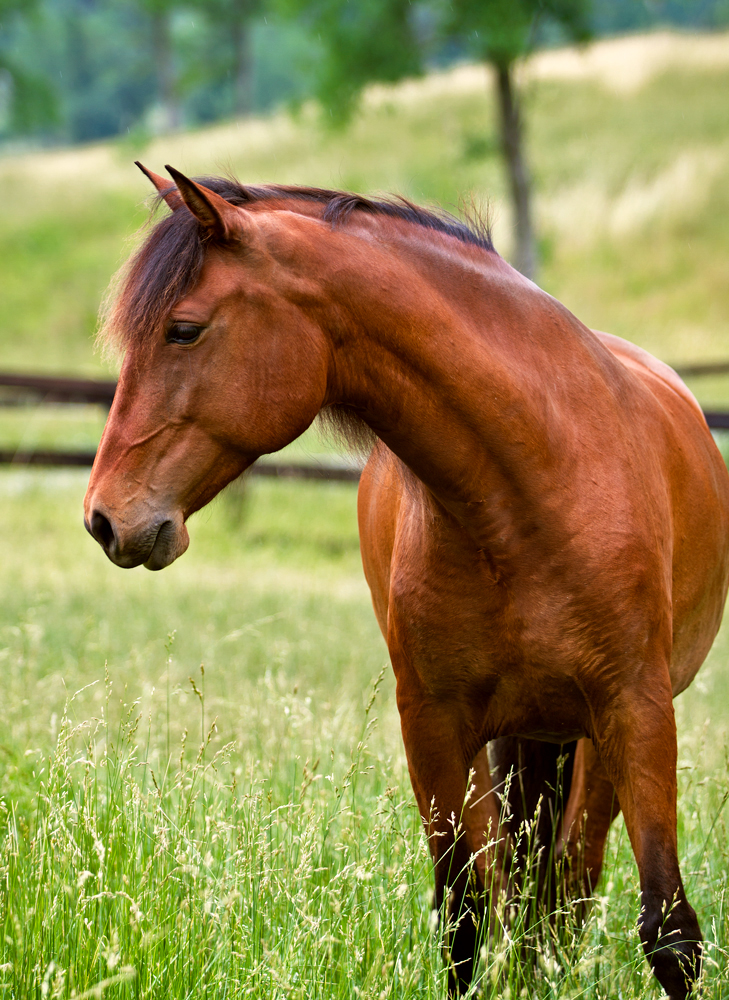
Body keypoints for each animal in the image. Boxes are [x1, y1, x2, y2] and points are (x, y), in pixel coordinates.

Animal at [82, 160, 724, 996]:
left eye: (183, 329)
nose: (106, 518)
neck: (529, 492)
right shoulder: (433, 727)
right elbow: (464, 921)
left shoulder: (635, 713)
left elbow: (668, 934)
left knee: (567, 886)